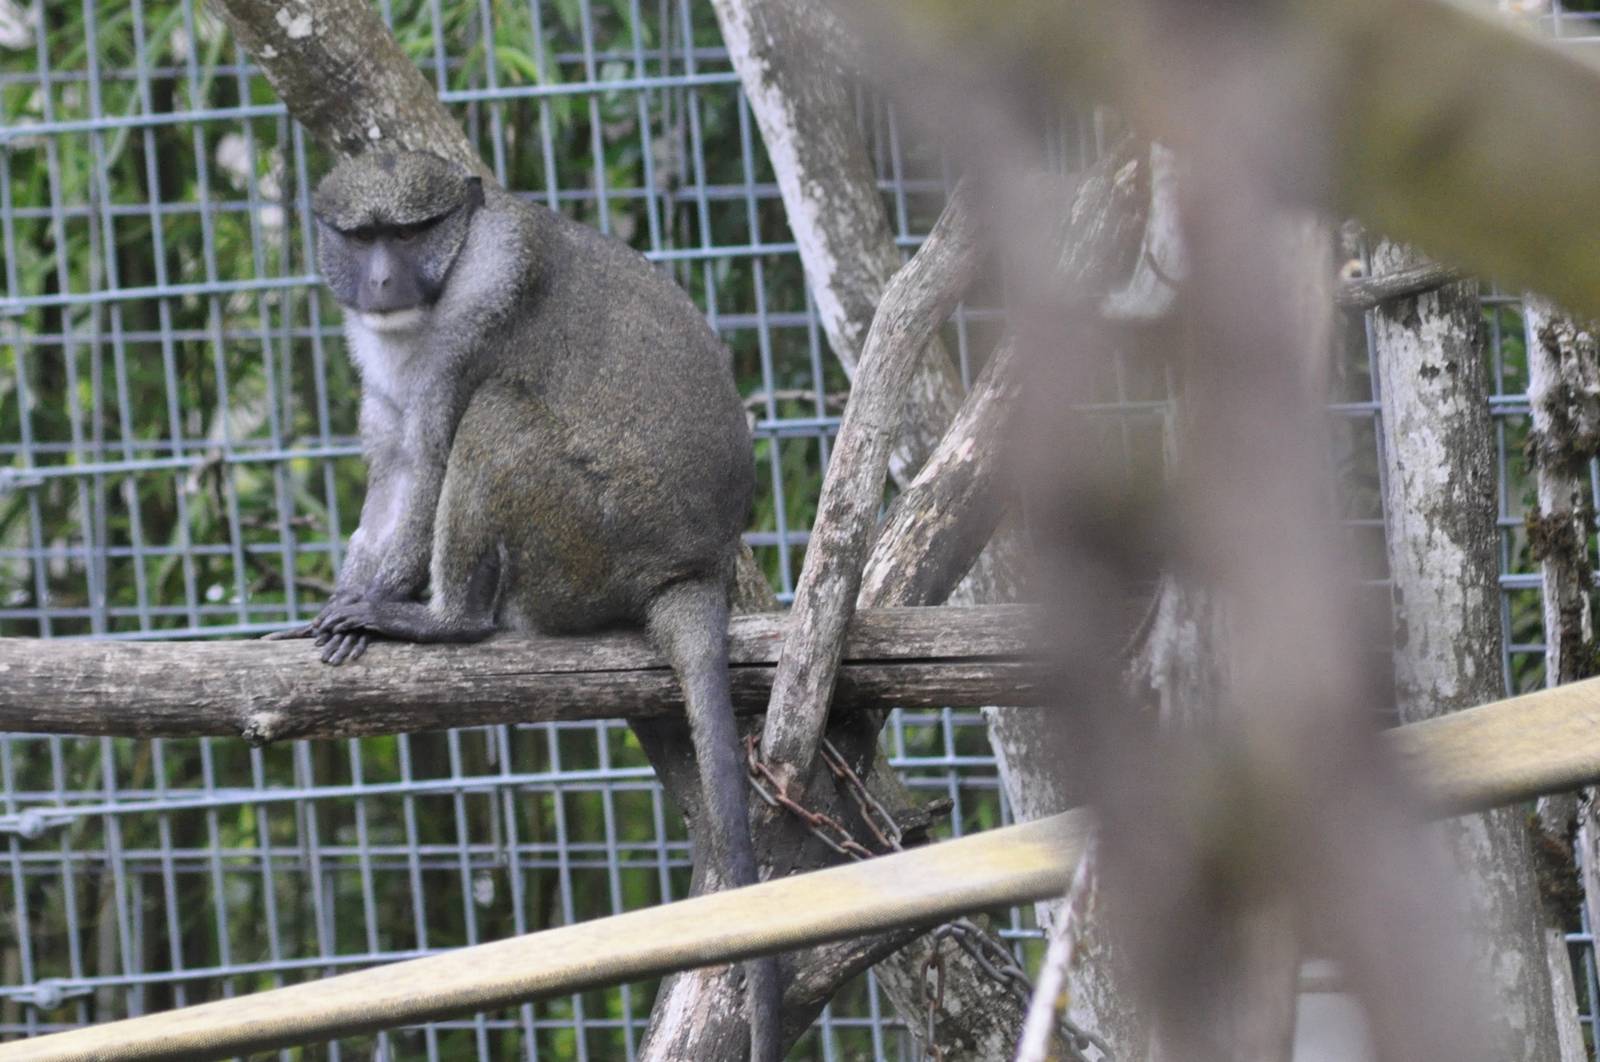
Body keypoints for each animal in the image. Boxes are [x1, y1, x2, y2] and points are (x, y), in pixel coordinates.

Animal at [269, 150, 780, 1061]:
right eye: (361, 237)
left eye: (412, 232)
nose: (383, 278)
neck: (451, 270)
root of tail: (696, 566)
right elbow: (399, 463)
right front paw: (344, 599)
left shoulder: (484, 310)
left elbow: (432, 457)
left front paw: (384, 605)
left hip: (585, 541)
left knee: (498, 409)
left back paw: (449, 620)